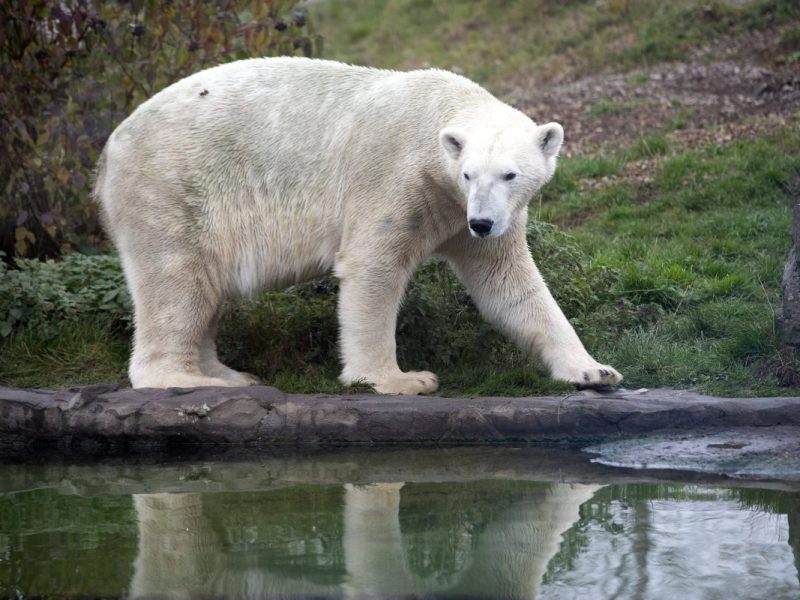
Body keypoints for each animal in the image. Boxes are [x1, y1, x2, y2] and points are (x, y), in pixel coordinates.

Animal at [92, 56, 620, 394]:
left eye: (510, 174)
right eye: (470, 172)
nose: (483, 222)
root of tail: (108, 151)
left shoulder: (465, 213)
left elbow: (510, 284)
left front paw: (594, 371)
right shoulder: (398, 179)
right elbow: (372, 269)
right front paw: (400, 380)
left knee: (205, 288)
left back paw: (229, 375)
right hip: (173, 187)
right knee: (178, 280)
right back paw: (185, 379)